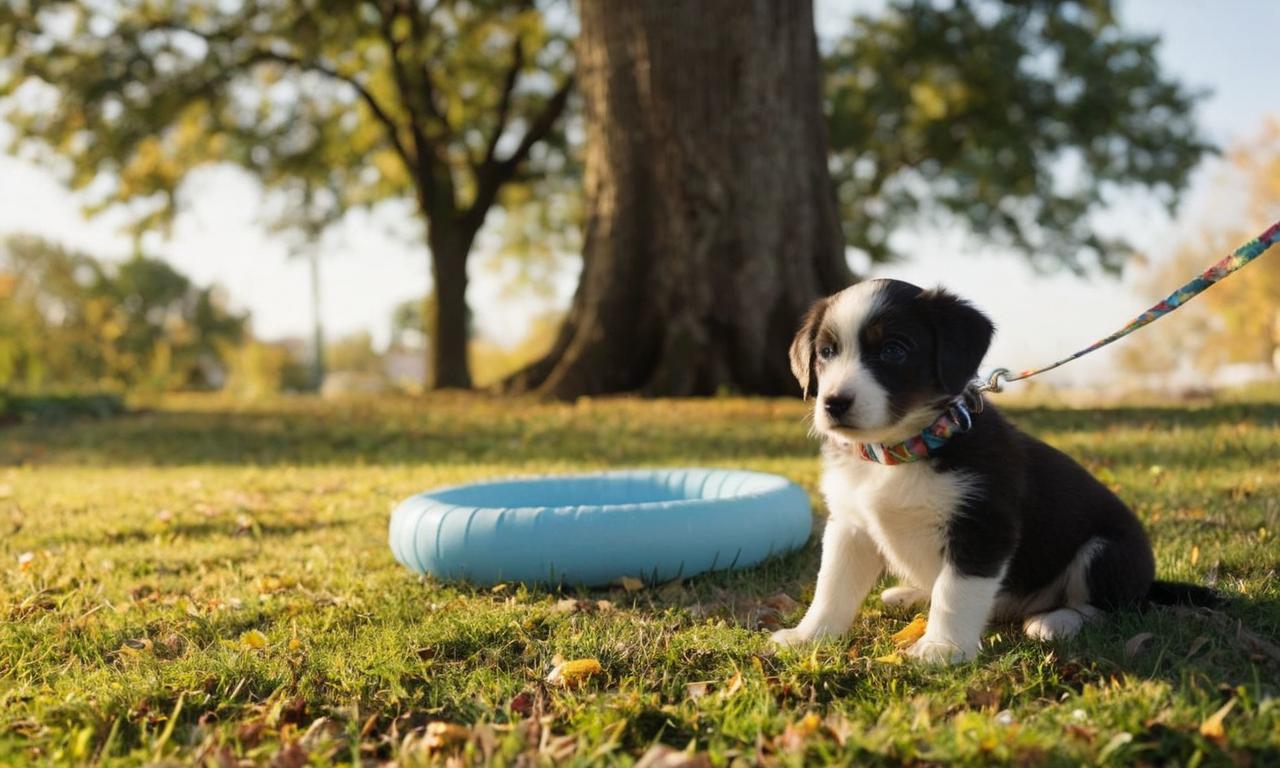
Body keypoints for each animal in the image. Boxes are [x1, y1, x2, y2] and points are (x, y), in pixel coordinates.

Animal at [768, 279, 1177, 660]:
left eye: (894, 350)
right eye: (826, 352)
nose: (834, 403)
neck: (901, 452)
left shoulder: (981, 526)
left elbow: (955, 591)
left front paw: (941, 649)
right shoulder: (850, 527)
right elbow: (831, 588)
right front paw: (808, 637)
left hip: (1107, 551)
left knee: (1104, 608)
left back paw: (1055, 621)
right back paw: (911, 593)